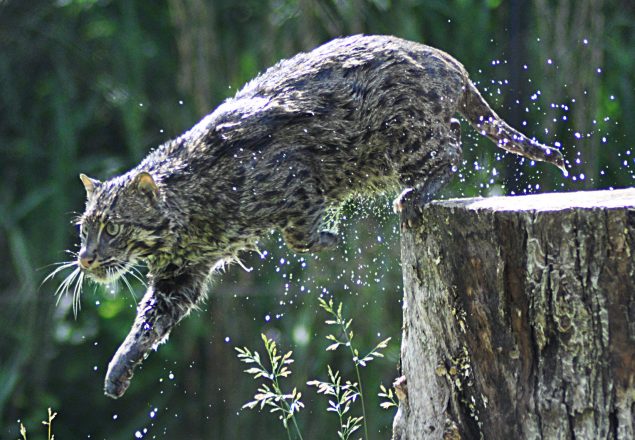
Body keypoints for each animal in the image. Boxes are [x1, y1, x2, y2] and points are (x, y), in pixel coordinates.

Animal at [59, 35, 568, 398]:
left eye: (112, 229)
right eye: (84, 231)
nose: (85, 259)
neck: (188, 216)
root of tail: (445, 60)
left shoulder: (294, 179)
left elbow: (299, 232)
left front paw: (330, 237)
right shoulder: (178, 280)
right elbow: (146, 326)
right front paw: (119, 369)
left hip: (403, 139)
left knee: (453, 146)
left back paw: (416, 195)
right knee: (456, 134)